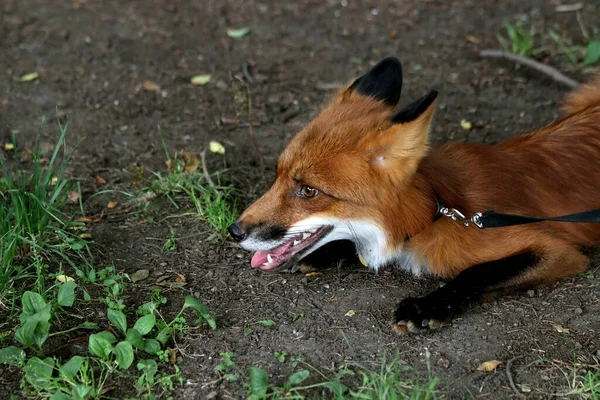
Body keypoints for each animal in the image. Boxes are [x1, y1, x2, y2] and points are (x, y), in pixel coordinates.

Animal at [227, 55, 600, 332]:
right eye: (276, 175)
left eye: (308, 190)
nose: (234, 231)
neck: (433, 214)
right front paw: (329, 252)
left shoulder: (556, 250)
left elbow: (478, 272)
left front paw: (427, 306)